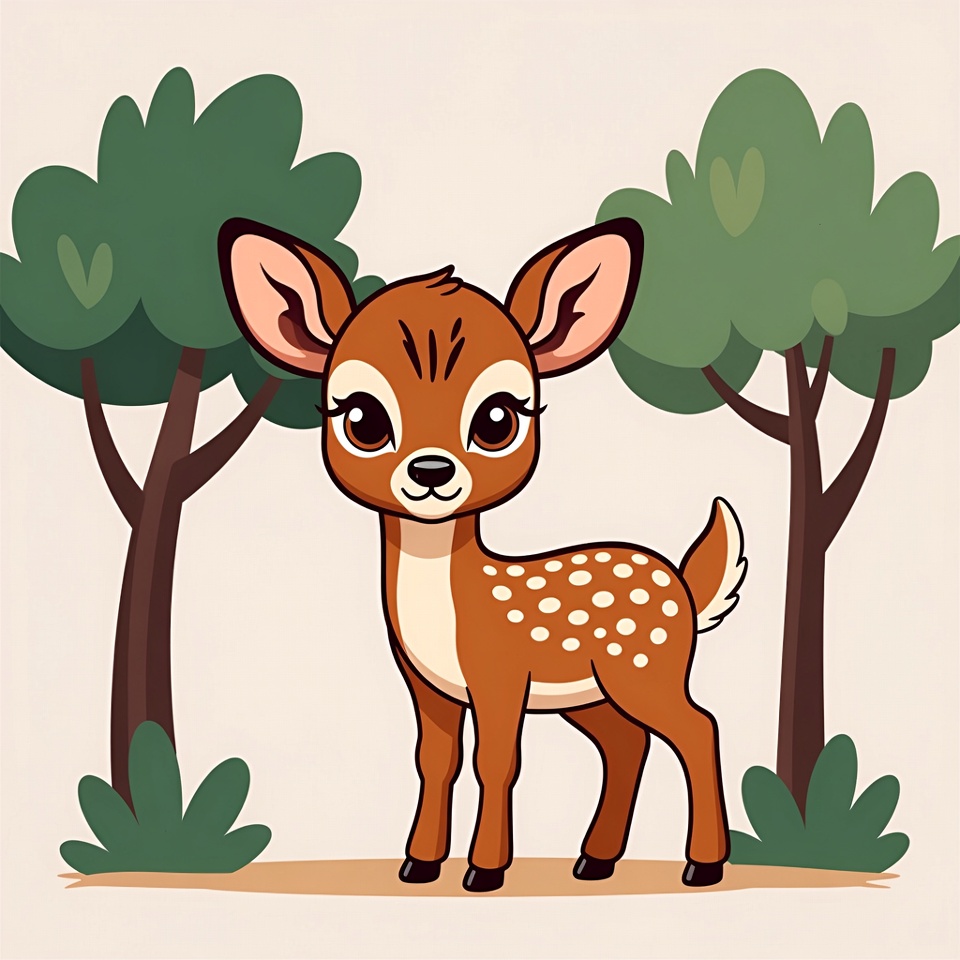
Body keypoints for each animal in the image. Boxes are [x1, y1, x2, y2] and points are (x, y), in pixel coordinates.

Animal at [218, 215, 746, 893]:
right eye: (360, 416)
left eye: (499, 417)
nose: (431, 471)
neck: (449, 605)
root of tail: (681, 585)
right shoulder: (428, 684)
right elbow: (435, 761)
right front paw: (419, 863)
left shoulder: (500, 673)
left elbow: (495, 761)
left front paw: (483, 871)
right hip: (592, 694)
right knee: (627, 744)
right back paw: (594, 860)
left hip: (645, 667)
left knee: (697, 729)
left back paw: (701, 866)